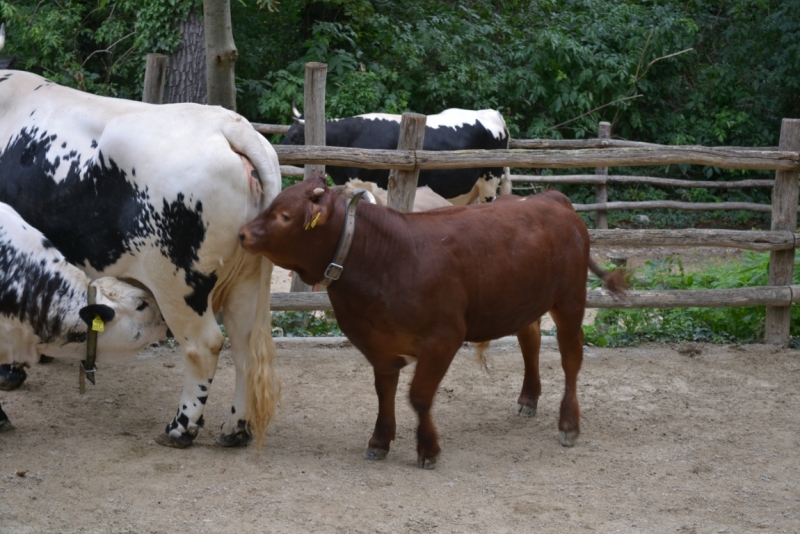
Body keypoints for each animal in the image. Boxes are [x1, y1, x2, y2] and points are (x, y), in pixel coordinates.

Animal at [238, 177, 624, 468]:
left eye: (285, 215)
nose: (242, 233)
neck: (383, 256)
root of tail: (551, 198)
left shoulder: (443, 338)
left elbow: (419, 396)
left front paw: (428, 448)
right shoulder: (378, 342)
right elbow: (385, 392)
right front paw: (380, 440)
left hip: (570, 300)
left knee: (571, 358)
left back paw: (568, 424)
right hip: (523, 302)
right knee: (530, 340)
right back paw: (528, 399)